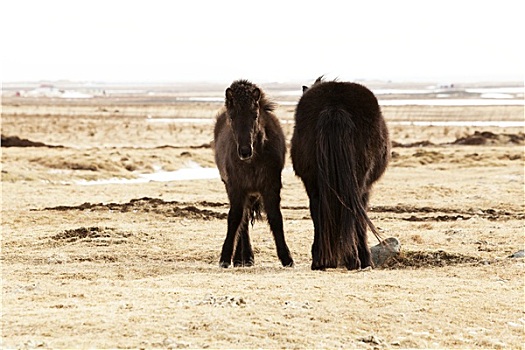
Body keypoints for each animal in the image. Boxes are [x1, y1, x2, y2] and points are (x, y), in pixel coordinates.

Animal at [213, 79, 294, 268]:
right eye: (232, 116)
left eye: (254, 115)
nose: (244, 151)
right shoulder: (236, 188)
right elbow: (235, 218)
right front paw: (225, 258)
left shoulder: (271, 186)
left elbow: (275, 218)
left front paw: (287, 258)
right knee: (242, 220)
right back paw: (243, 258)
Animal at [290, 76, 388, 270]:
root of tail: (334, 107)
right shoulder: (365, 190)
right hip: (358, 183)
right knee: (353, 213)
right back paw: (354, 259)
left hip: (313, 184)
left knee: (318, 213)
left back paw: (320, 261)